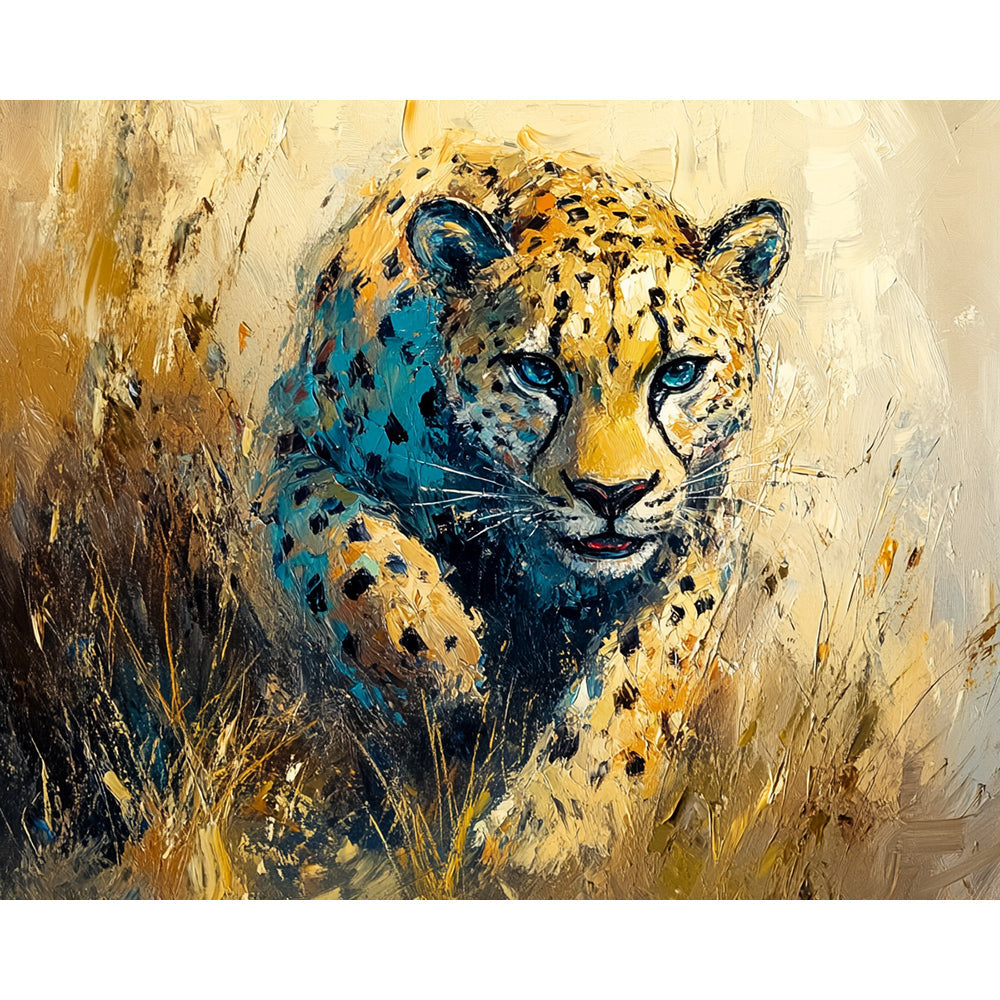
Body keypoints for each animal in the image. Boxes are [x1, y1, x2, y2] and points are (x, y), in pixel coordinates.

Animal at [257, 133, 789, 863]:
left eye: (680, 372)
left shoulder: (702, 526)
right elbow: (340, 542)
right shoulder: (293, 447)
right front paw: (443, 661)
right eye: (538, 372)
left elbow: (640, 671)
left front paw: (550, 835)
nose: (612, 493)